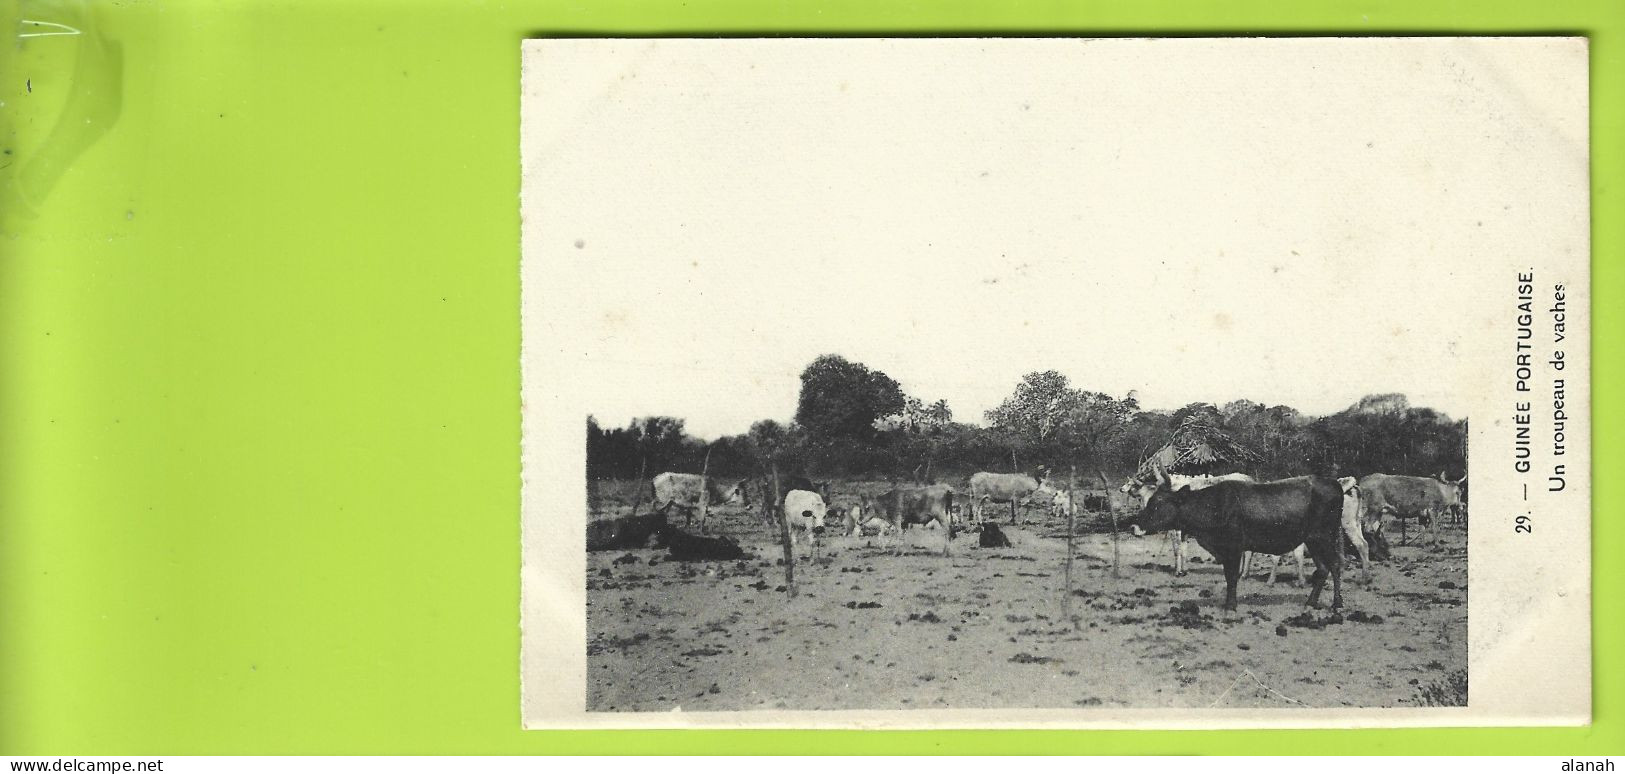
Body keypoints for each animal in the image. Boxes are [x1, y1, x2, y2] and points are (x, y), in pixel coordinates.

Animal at [1131, 471, 1345, 611]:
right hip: (1313, 540)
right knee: (1323, 569)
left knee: (1335, 565)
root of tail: (1334, 483)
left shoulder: (1233, 547)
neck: (1214, 505)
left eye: (1157, 503)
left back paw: (1337, 604)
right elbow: (1228, 575)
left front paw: (1231, 606)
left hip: (1325, 536)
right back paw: (1311, 603)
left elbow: (1232, 576)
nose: (1134, 526)